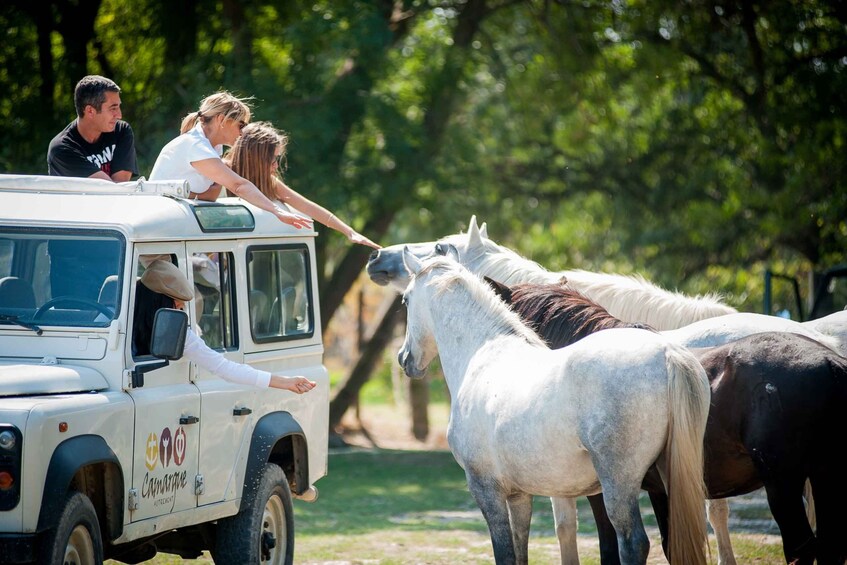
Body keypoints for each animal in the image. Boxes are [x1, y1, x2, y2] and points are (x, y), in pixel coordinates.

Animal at [398, 251, 708, 564]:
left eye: (406, 300)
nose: (404, 358)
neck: (483, 353)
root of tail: (668, 354)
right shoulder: (519, 495)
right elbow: (520, 548)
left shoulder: (486, 490)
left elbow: (505, 552)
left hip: (619, 485)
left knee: (634, 543)